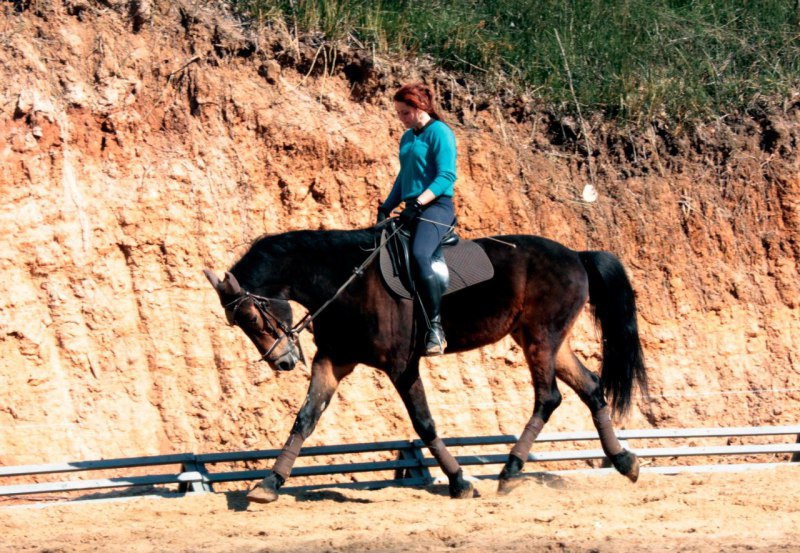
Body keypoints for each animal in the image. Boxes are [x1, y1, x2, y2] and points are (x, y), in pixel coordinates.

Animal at [203, 222, 648, 502]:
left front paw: (459, 481)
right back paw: (625, 461)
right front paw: (269, 483)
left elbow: (424, 422)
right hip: (546, 339)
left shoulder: (402, 365)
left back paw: (510, 470)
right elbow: (305, 419)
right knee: (591, 387)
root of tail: (576, 254)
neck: (344, 283)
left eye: (251, 316)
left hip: (540, 338)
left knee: (548, 397)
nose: (283, 362)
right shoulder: (333, 360)